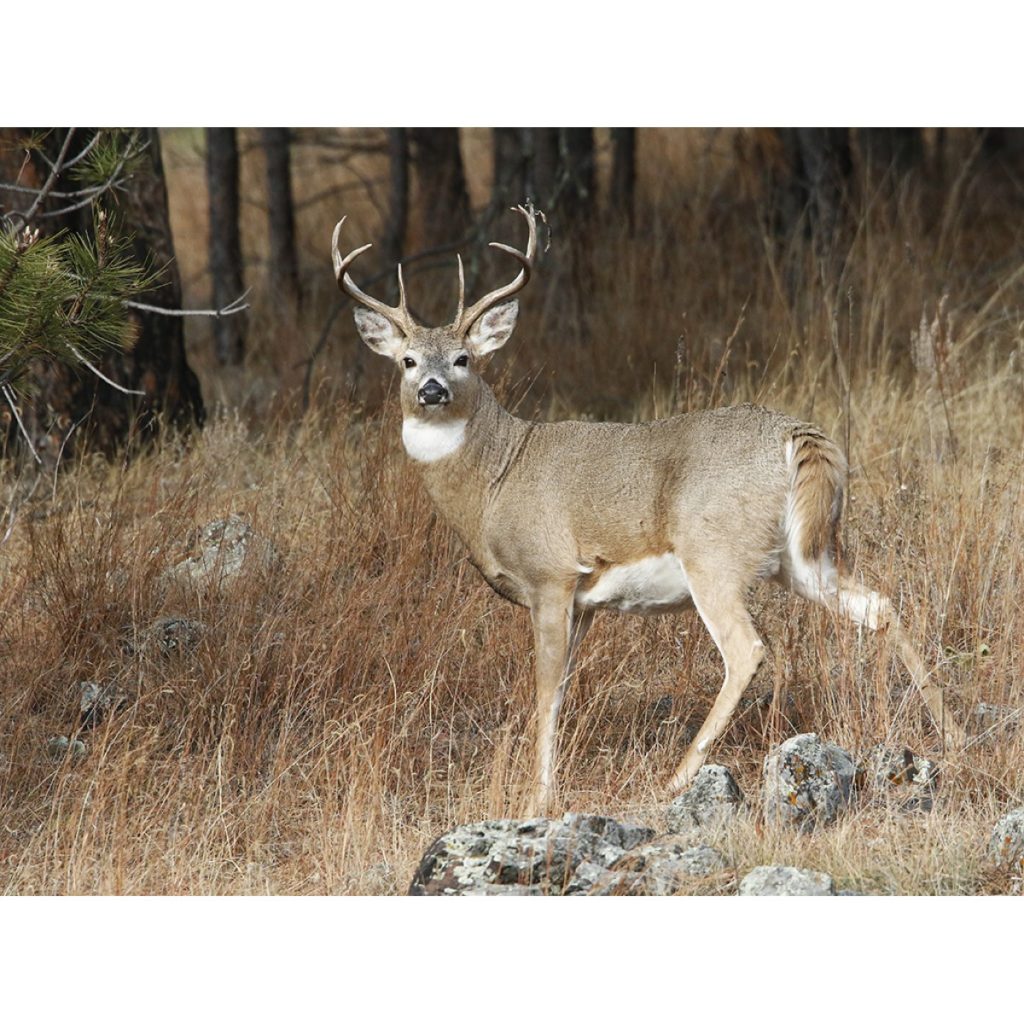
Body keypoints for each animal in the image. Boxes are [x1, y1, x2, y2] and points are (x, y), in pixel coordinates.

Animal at [331, 203, 962, 815]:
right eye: (408, 361)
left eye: (463, 358)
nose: (432, 390)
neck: (494, 477)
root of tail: (796, 435)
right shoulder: (582, 603)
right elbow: (564, 688)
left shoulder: (551, 577)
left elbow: (544, 691)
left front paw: (539, 797)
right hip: (804, 557)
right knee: (879, 606)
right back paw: (952, 735)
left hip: (713, 553)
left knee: (748, 651)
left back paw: (676, 780)